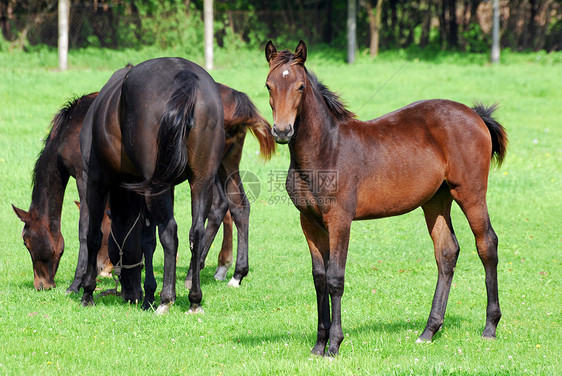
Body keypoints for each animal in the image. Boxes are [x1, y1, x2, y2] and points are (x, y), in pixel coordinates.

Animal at [79, 58, 223, 312]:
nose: (129, 294)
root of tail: (186, 77)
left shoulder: (94, 180)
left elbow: (93, 234)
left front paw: (87, 291)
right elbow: (148, 240)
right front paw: (149, 294)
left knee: (170, 231)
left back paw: (166, 298)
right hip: (200, 180)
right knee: (196, 231)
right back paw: (194, 299)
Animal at [264, 40, 506, 356]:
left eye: (300, 86)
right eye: (268, 85)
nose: (282, 131)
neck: (326, 149)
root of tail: (476, 115)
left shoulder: (340, 220)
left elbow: (335, 278)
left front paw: (334, 345)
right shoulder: (309, 221)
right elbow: (319, 279)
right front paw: (318, 345)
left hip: (470, 192)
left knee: (486, 244)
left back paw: (490, 327)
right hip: (436, 200)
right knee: (446, 252)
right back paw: (428, 331)